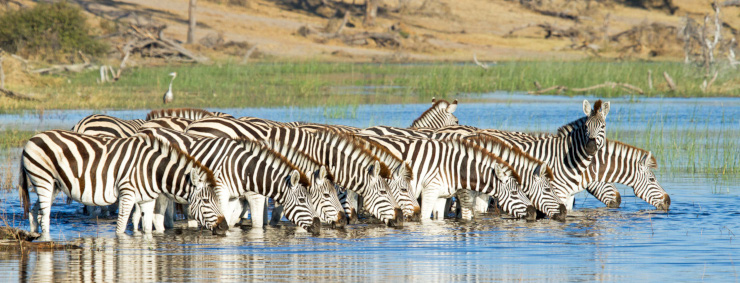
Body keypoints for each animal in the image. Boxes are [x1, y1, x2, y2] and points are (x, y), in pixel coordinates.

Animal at [19, 130, 228, 240]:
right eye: (206, 201)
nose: (225, 227)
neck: (152, 170)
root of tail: (33, 138)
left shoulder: (147, 200)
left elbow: (147, 228)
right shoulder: (127, 194)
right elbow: (120, 228)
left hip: (53, 185)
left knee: (36, 212)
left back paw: (34, 236)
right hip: (43, 179)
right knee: (45, 216)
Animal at [137, 128, 328, 233]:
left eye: (312, 198)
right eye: (302, 200)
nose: (318, 226)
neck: (244, 169)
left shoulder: (233, 197)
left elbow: (228, 220)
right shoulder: (221, 193)